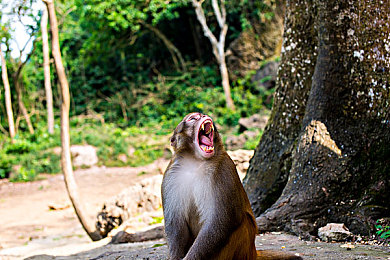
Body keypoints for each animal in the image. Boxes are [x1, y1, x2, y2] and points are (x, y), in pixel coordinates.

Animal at [161, 112, 302, 260]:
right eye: (193, 118)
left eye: (202, 115)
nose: (204, 116)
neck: (196, 162)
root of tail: (253, 253)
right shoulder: (171, 176)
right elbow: (176, 224)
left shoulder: (223, 170)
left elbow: (220, 221)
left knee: (241, 222)